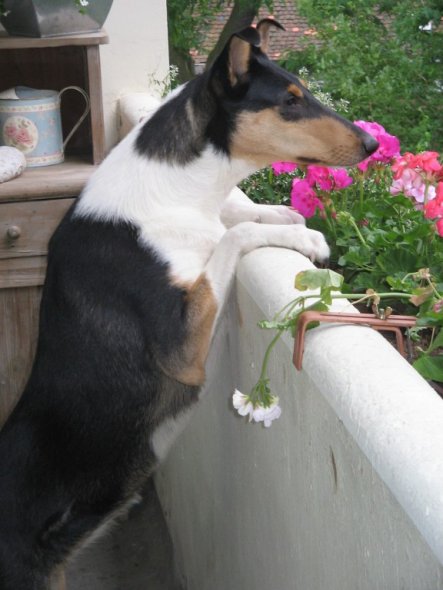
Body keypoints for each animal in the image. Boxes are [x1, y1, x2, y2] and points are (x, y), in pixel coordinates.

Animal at [0, 19, 378, 590]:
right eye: (289, 102)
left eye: (305, 93)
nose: (373, 142)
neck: (181, 190)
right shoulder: (182, 345)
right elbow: (230, 234)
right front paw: (307, 239)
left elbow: (245, 215)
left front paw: (285, 216)